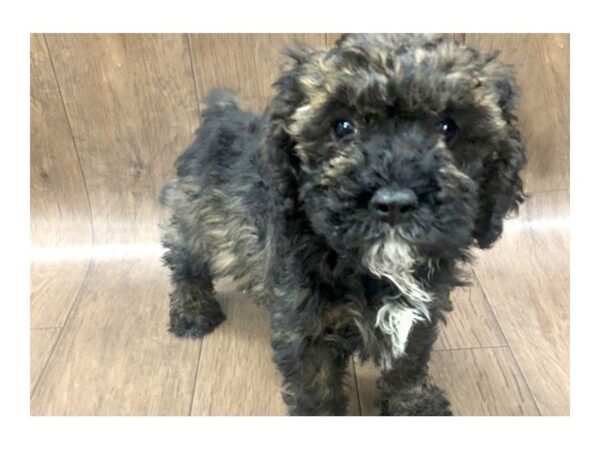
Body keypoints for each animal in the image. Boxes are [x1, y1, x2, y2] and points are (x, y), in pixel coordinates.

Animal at [162, 33, 528, 416]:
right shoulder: (304, 324)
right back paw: (192, 310)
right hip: (196, 217)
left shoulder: (422, 310)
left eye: (448, 127)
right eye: (342, 126)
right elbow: (317, 389)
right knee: (185, 261)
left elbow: (409, 362)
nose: (394, 203)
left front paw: (413, 403)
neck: (374, 269)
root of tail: (220, 115)